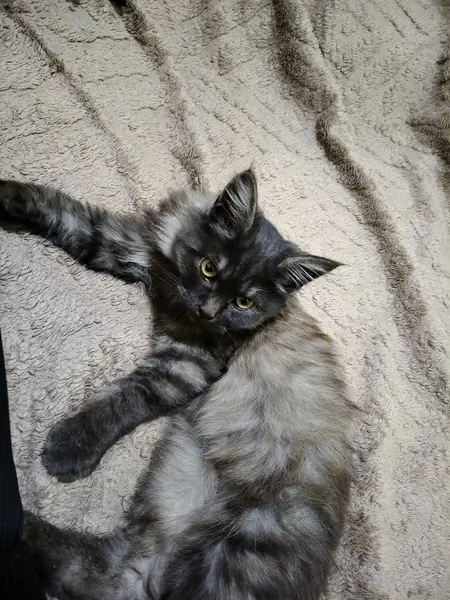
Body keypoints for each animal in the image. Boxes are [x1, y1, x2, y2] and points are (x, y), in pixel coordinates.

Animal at [0, 170, 357, 599]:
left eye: (244, 302)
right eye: (208, 269)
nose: (208, 311)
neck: (176, 303)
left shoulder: (188, 364)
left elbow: (128, 398)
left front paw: (72, 444)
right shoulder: (127, 243)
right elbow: (58, 210)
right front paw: (3, 197)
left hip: (241, 551)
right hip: (170, 500)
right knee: (108, 575)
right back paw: (22, 529)